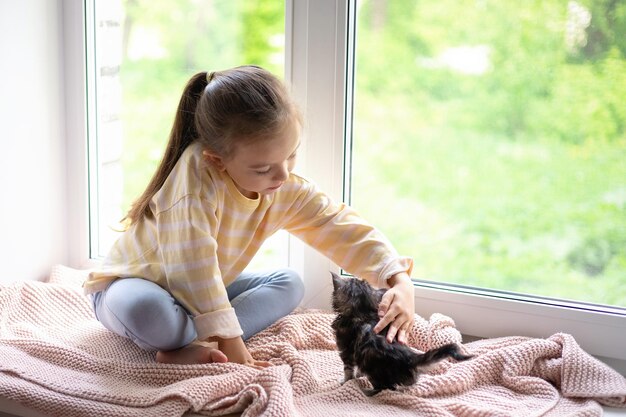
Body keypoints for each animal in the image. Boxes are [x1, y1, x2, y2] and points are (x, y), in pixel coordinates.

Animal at [330, 272, 470, 394]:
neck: (361, 313)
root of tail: (410, 357)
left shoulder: (346, 350)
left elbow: (348, 370)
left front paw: (345, 381)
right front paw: (357, 374)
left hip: (374, 368)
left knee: (384, 388)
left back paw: (366, 392)